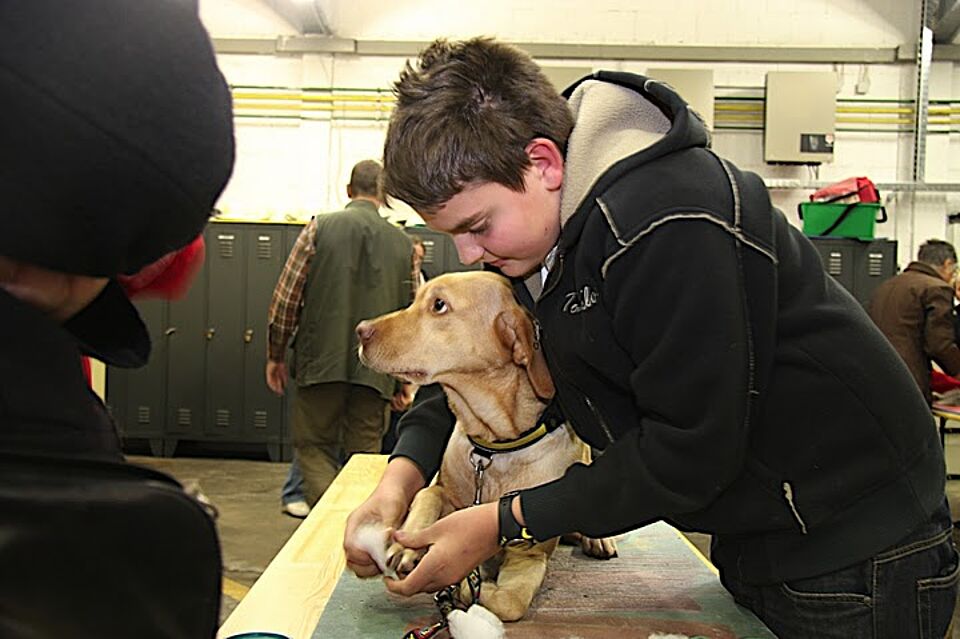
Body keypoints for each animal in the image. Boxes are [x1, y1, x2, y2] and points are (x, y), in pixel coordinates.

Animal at [356, 270, 616, 621]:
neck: (495, 446)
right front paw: (408, 545)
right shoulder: (444, 491)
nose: (361, 330)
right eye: (416, 298)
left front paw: (468, 589)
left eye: (439, 304)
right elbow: (427, 495)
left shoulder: (530, 556)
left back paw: (598, 539)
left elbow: (510, 603)